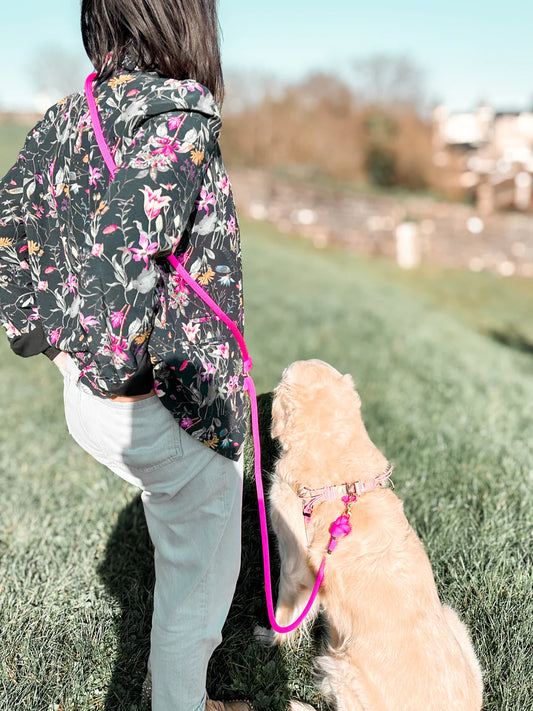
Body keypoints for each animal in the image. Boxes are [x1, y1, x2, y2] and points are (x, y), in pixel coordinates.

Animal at [270, 362, 482, 711]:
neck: (342, 481)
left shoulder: (293, 567)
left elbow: (282, 619)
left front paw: (267, 642)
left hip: (341, 668)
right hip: (453, 619)